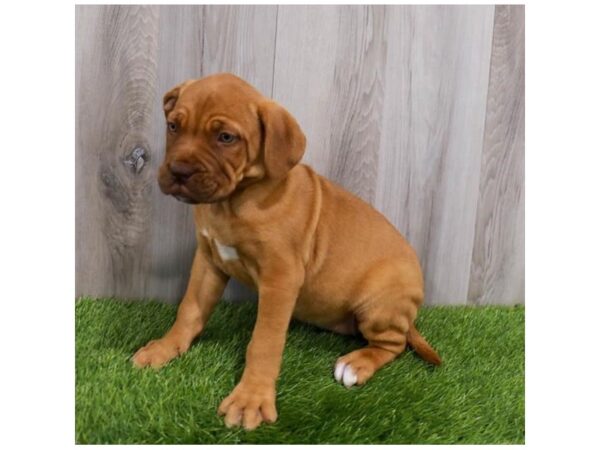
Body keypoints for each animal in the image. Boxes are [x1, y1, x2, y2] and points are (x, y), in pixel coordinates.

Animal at [131, 73, 440, 428]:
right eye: (173, 126)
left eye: (226, 137)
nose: (179, 171)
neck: (234, 201)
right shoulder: (209, 261)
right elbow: (190, 309)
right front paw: (166, 347)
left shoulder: (280, 280)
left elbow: (264, 342)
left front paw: (250, 399)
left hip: (379, 302)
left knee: (394, 344)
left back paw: (357, 363)